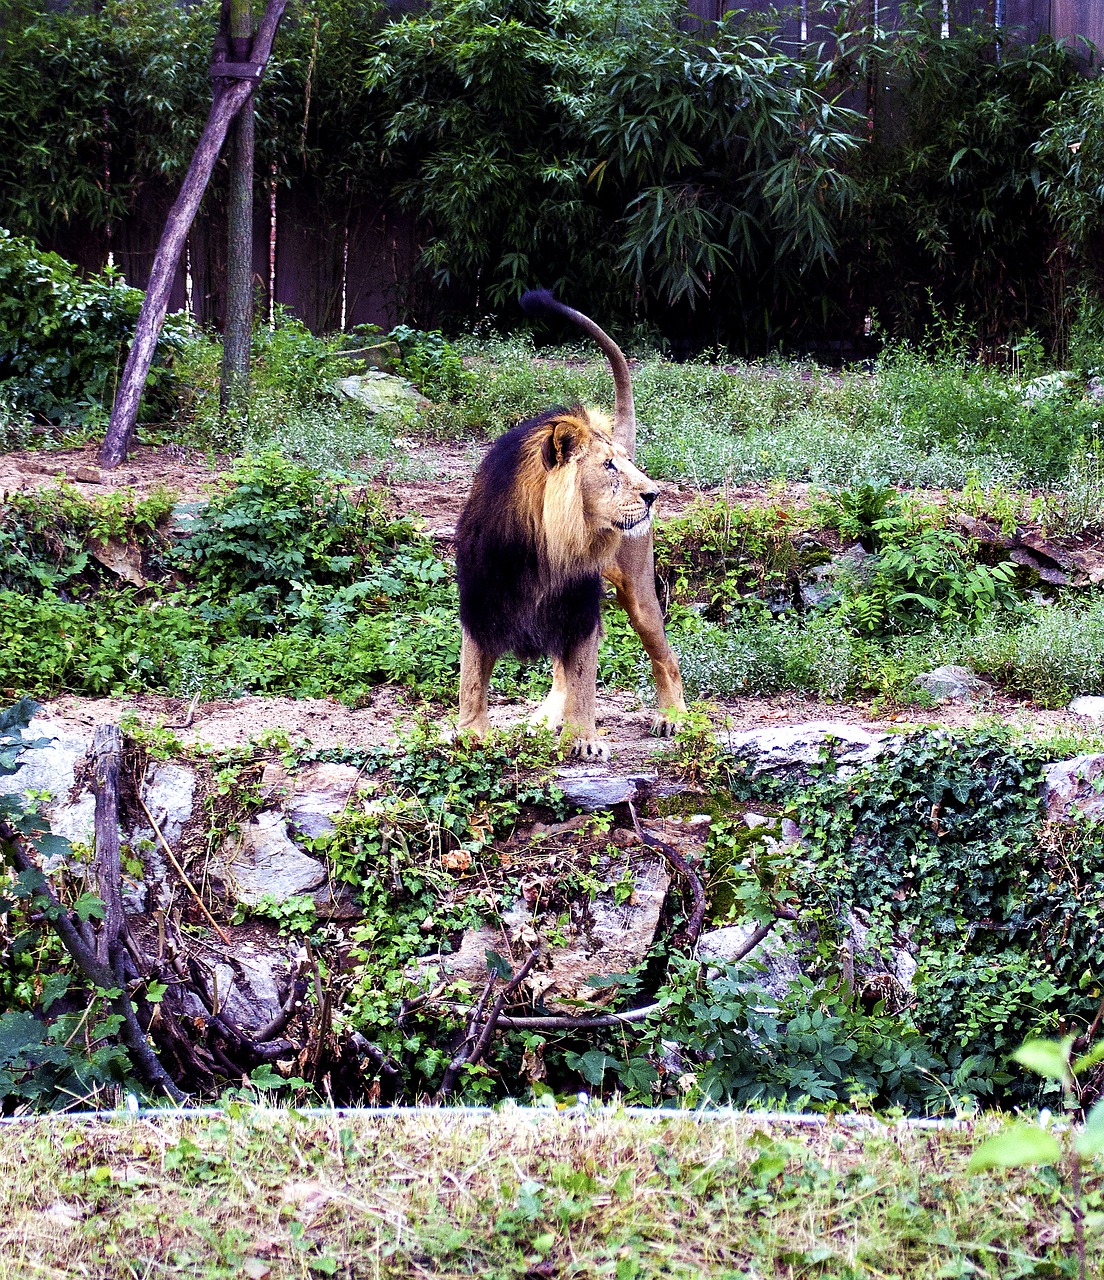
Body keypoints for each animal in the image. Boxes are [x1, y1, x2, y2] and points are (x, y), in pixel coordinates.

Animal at [455, 288, 681, 757]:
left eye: (625, 463)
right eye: (610, 466)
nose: (653, 494)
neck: (544, 542)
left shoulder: (578, 605)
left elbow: (583, 678)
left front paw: (583, 740)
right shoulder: (480, 598)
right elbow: (472, 677)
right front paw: (470, 734)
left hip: (637, 588)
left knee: (665, 656)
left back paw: (673, 717)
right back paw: (542, 721)